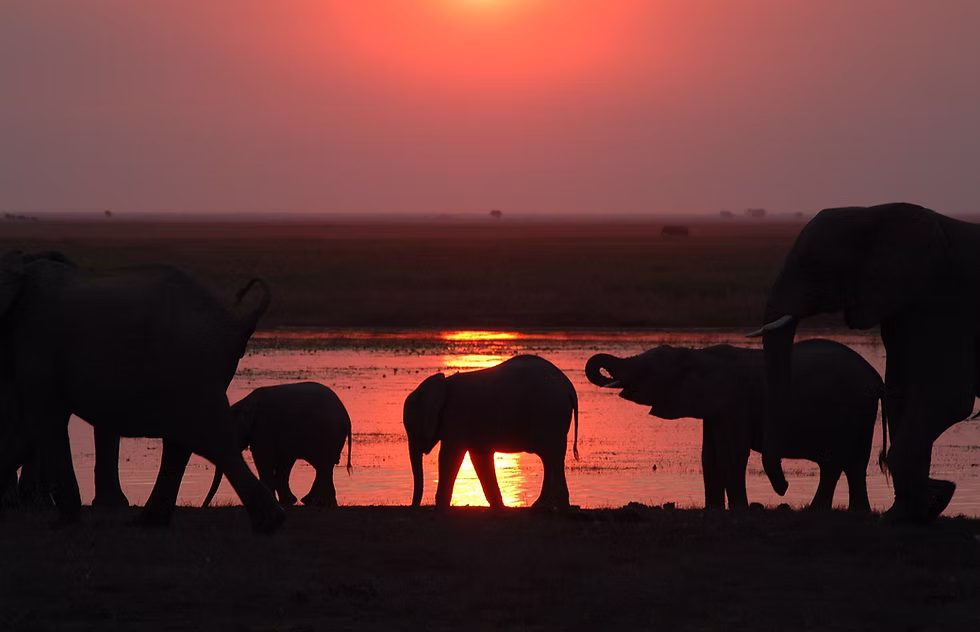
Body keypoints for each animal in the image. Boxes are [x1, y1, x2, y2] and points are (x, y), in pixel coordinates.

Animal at [0, 250, 285, 532]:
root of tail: (236, 321)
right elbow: (28, 427)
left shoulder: (37, 341)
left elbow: (40, 422)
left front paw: (64, 522)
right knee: (184, 442)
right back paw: (150, 521)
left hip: (193, 363)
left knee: (212, 439)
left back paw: (269, 523)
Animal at [202, 382, 353, 508]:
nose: (204, 506)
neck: (246, 403)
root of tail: (346, 416)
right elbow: (284, 464)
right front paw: (287, 502)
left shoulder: (263, 428)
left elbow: (263, 459)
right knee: (324, 467)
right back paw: (319, 502)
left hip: (327, 434)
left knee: (323, 466)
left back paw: (315, 502)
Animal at [404, 355, 579, 509]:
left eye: (411, 427)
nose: (414, 506)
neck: (442, 385)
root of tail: (569, 388)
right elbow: (479, 457)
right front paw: (499, 506)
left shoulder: (456, 417)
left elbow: (450, 456)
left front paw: (441, 505)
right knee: (551, 457)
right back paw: (545, 505)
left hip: (550, 414)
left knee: (552, 455)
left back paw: (553, 507)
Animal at [585, 339, 886, 510]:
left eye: (648, 370)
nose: (783, 487)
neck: (696, 356)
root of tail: (877, 378)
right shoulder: (714, 408)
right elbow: (710, 456)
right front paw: (714, 510)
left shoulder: (737, 402)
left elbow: (733, 454)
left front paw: (740, 510)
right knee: (843, 464)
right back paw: (839, 512)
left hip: (856, 409)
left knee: (846, 463)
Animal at [749, 202, 979, 524]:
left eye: (810, 264)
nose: (784, 488)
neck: (875, 213)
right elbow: (900, 393)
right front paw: (919, 508)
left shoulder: (949, 304)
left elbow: (947, 398)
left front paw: (904, 515)